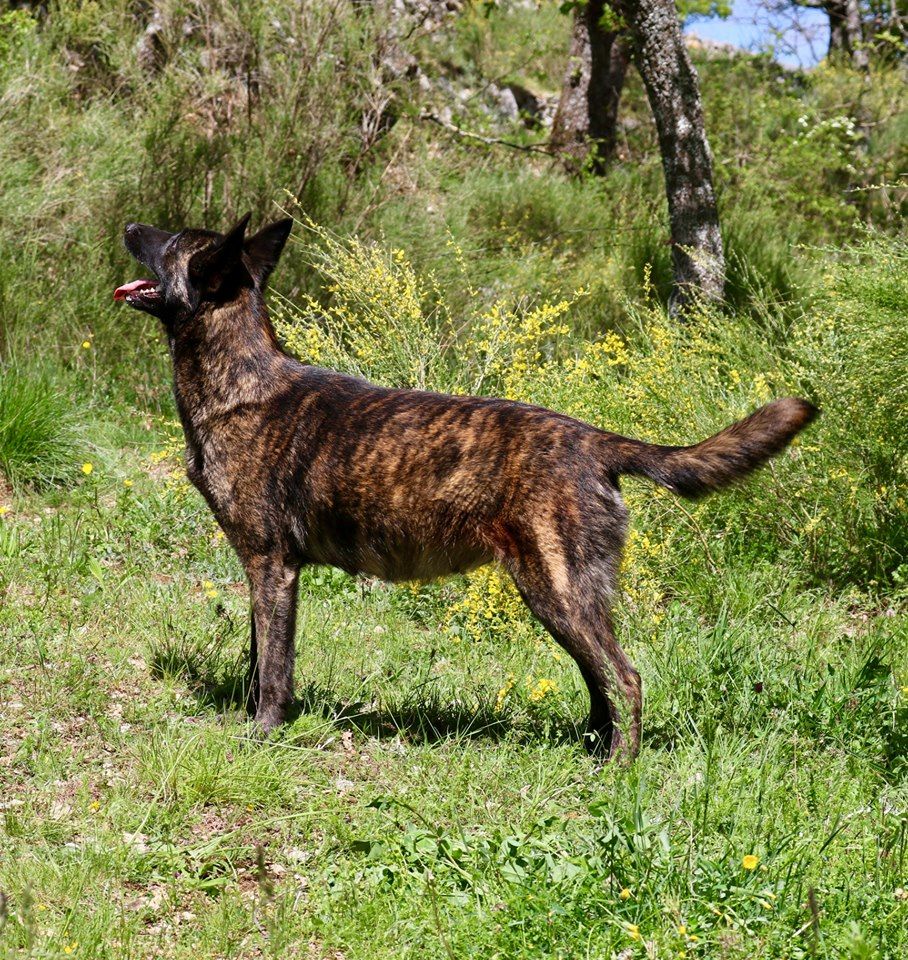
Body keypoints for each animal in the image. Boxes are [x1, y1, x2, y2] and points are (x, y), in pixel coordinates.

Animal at [117, 214, 820, 760]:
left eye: (170, 240)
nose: (127, 225)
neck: (242, 378)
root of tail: (594, 440)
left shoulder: (271, 567)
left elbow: (272, 668)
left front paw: (262, 733)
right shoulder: (269, 571)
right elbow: (258, 655)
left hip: (558, 594)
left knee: (625, 679)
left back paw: (620, 768)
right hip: (563, 600)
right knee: (600, 684)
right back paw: (593, 751)